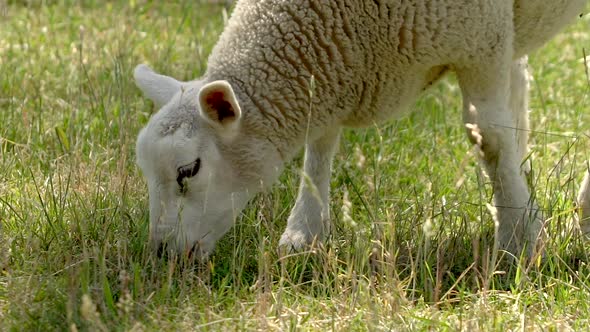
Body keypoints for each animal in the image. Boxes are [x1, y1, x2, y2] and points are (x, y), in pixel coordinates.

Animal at [135, 0, 590, 258]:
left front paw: (519, 239)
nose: (160, 253)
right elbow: (319, 147)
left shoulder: (481, 42)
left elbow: (489, 139)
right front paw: (304, 235)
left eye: (188, 170)